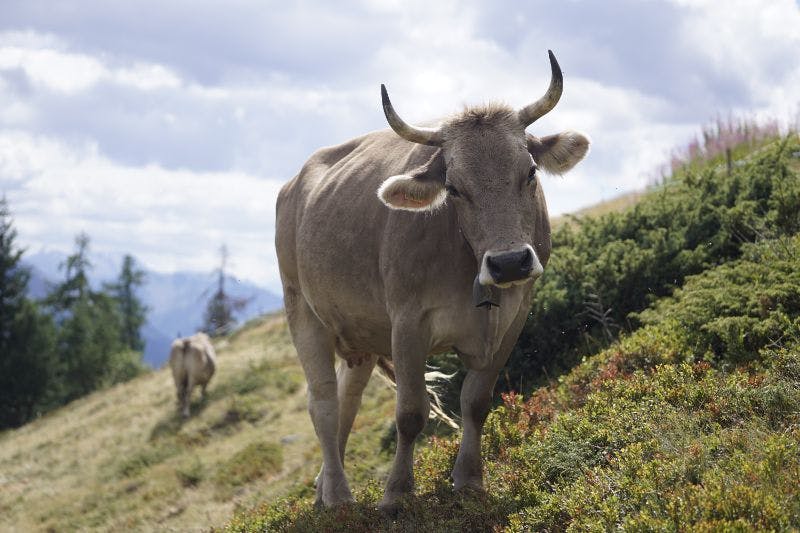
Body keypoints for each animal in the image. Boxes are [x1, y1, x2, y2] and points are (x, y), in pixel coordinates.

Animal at [275, 51, 589, 511]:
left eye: (530, 172)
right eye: (454, 188)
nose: (509, 263)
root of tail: (294, 183)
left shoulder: (514, 318)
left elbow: (476, 402)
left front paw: (470, 479)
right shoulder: (408, 322)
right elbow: (410, 413)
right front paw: (396, 493)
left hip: (361, 336)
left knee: (348, 400)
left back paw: (323, 488)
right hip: (302, 311)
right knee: (324, 404)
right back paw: (337, 495)